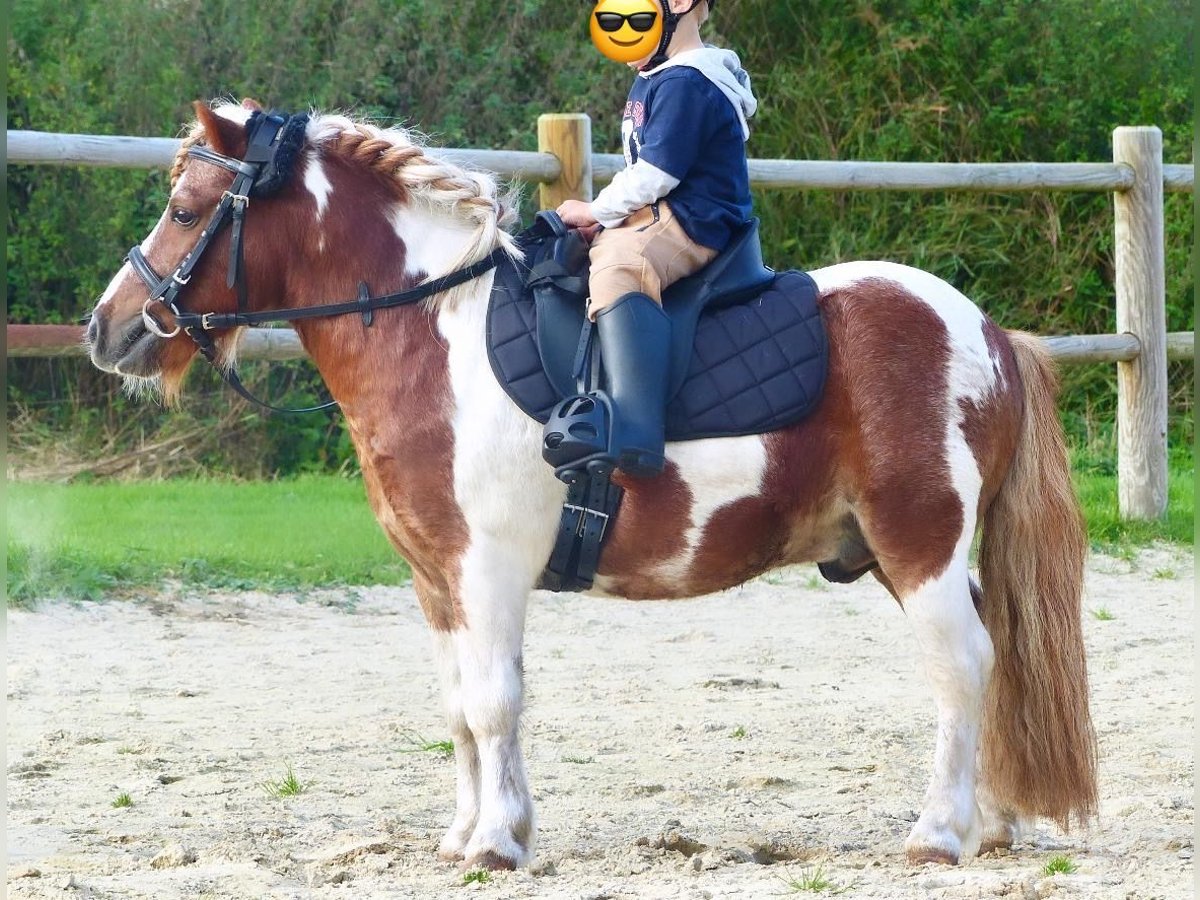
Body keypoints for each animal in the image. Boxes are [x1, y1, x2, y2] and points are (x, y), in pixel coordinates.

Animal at [84, 103, 1099, 873]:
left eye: (185, 209)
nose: (107, 329)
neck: (432, 333)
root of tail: (986, 331)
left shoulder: (488, 568)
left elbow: (495, 701)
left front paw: (497, 845)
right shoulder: (436, 580)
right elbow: (461, 707)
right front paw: (469, 832)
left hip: (917, 544)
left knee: (962, 664)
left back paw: (938, 834)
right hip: (898, 553)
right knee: (990, 658)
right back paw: (993, 823)